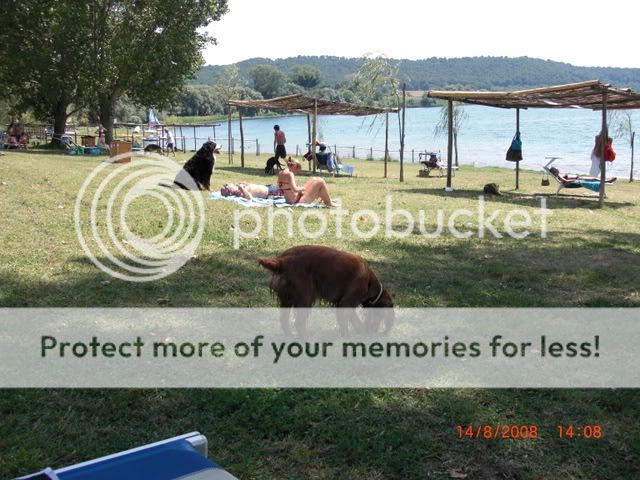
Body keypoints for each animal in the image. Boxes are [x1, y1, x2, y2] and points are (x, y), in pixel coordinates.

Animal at [258, 246, 392, 336]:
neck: (369, 281)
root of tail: (281, 261)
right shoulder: (346, 303)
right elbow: (350, 323)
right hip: (305, 299)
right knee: (298, 323)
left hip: (287, 300)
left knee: (284, 321)